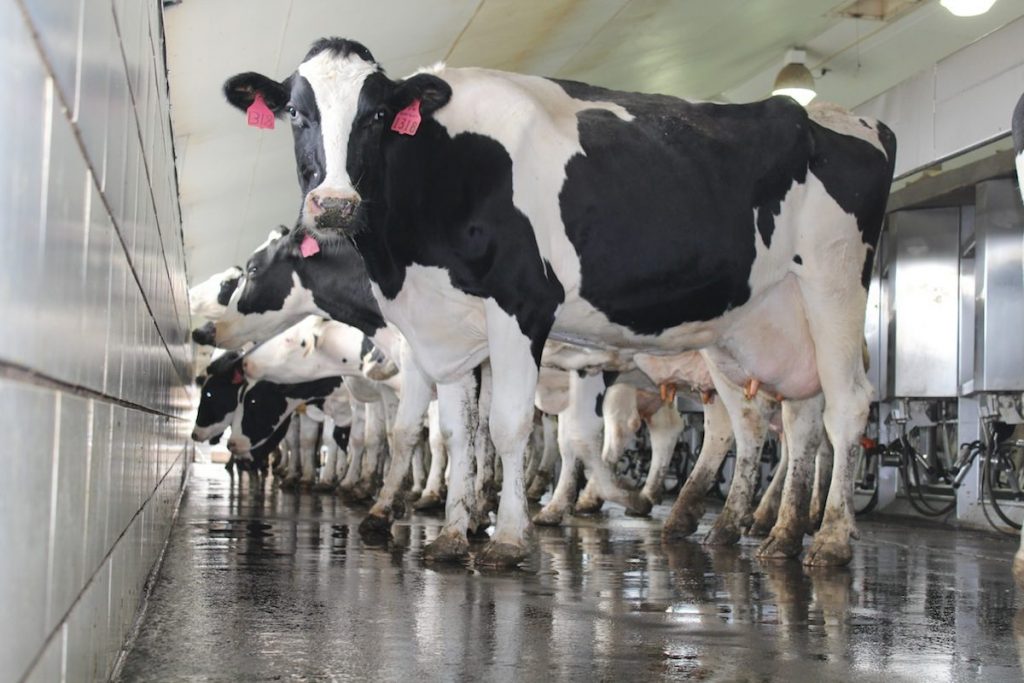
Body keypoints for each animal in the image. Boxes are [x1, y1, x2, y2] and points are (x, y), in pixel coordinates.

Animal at [224, 38, 896, 566]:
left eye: (379, 114)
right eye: (295, 111)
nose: (335, 204)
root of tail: (844, 117)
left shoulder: (523, 305)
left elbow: (509, 427)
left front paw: (507, 537)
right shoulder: (448, 332)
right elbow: (455, 433)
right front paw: (453, 533)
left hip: (833, 284)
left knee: (845, 407)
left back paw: (827, 539)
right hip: (756, 327)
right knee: (785, 419)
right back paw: (762, 532)